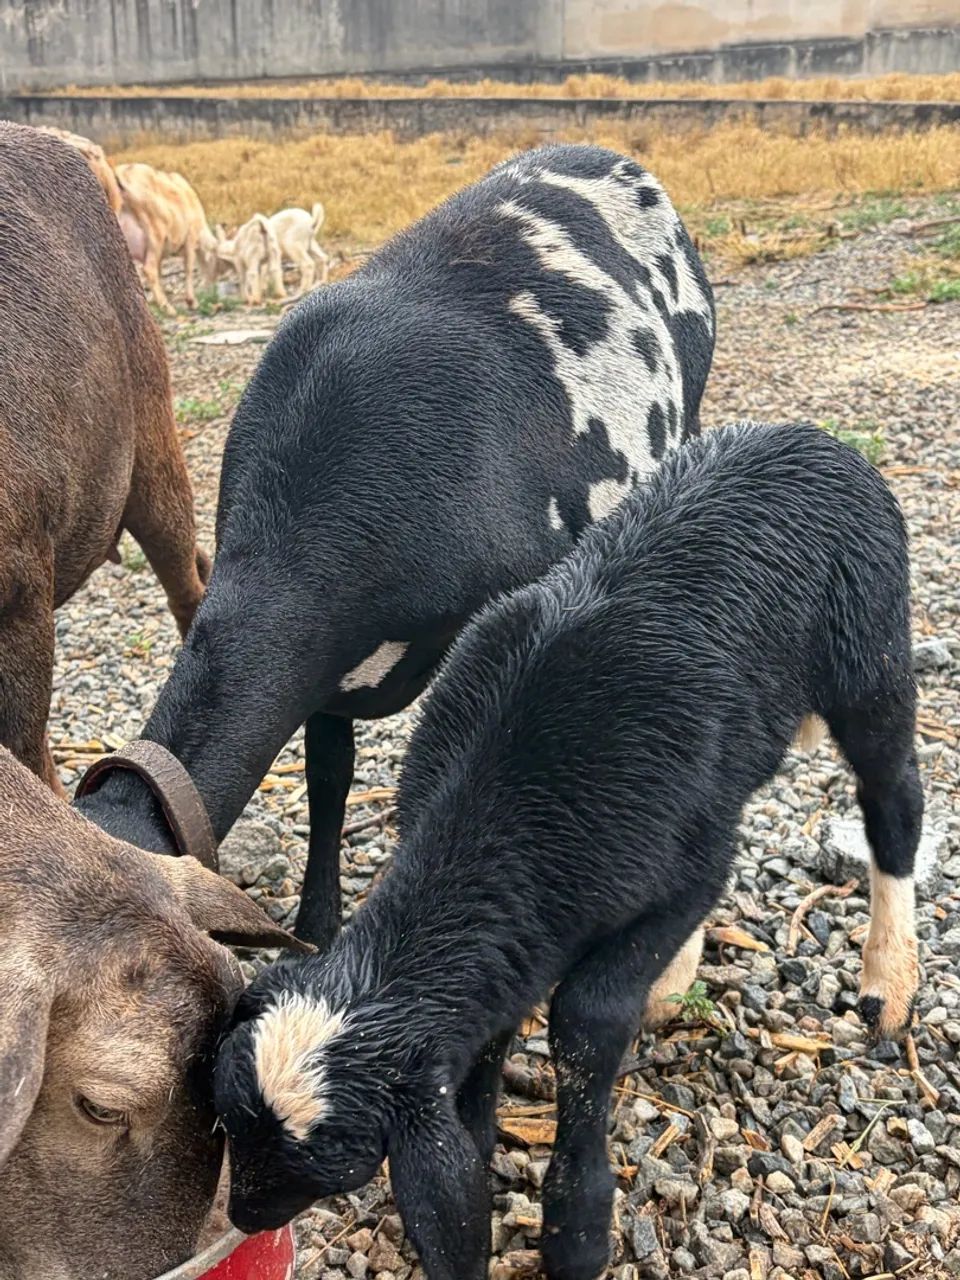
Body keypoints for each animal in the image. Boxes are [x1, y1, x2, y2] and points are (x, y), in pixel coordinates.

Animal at [214, 420, 923, 1280]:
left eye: (329, 1167)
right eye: (226, 1122)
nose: (245, 1216)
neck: (503, 818)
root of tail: (809, 438)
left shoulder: (684, 869)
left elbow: (587, 1023)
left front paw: (577, 1230)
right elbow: (490, 1035)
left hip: (870, 651)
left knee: (895, 799)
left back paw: (888, 980)